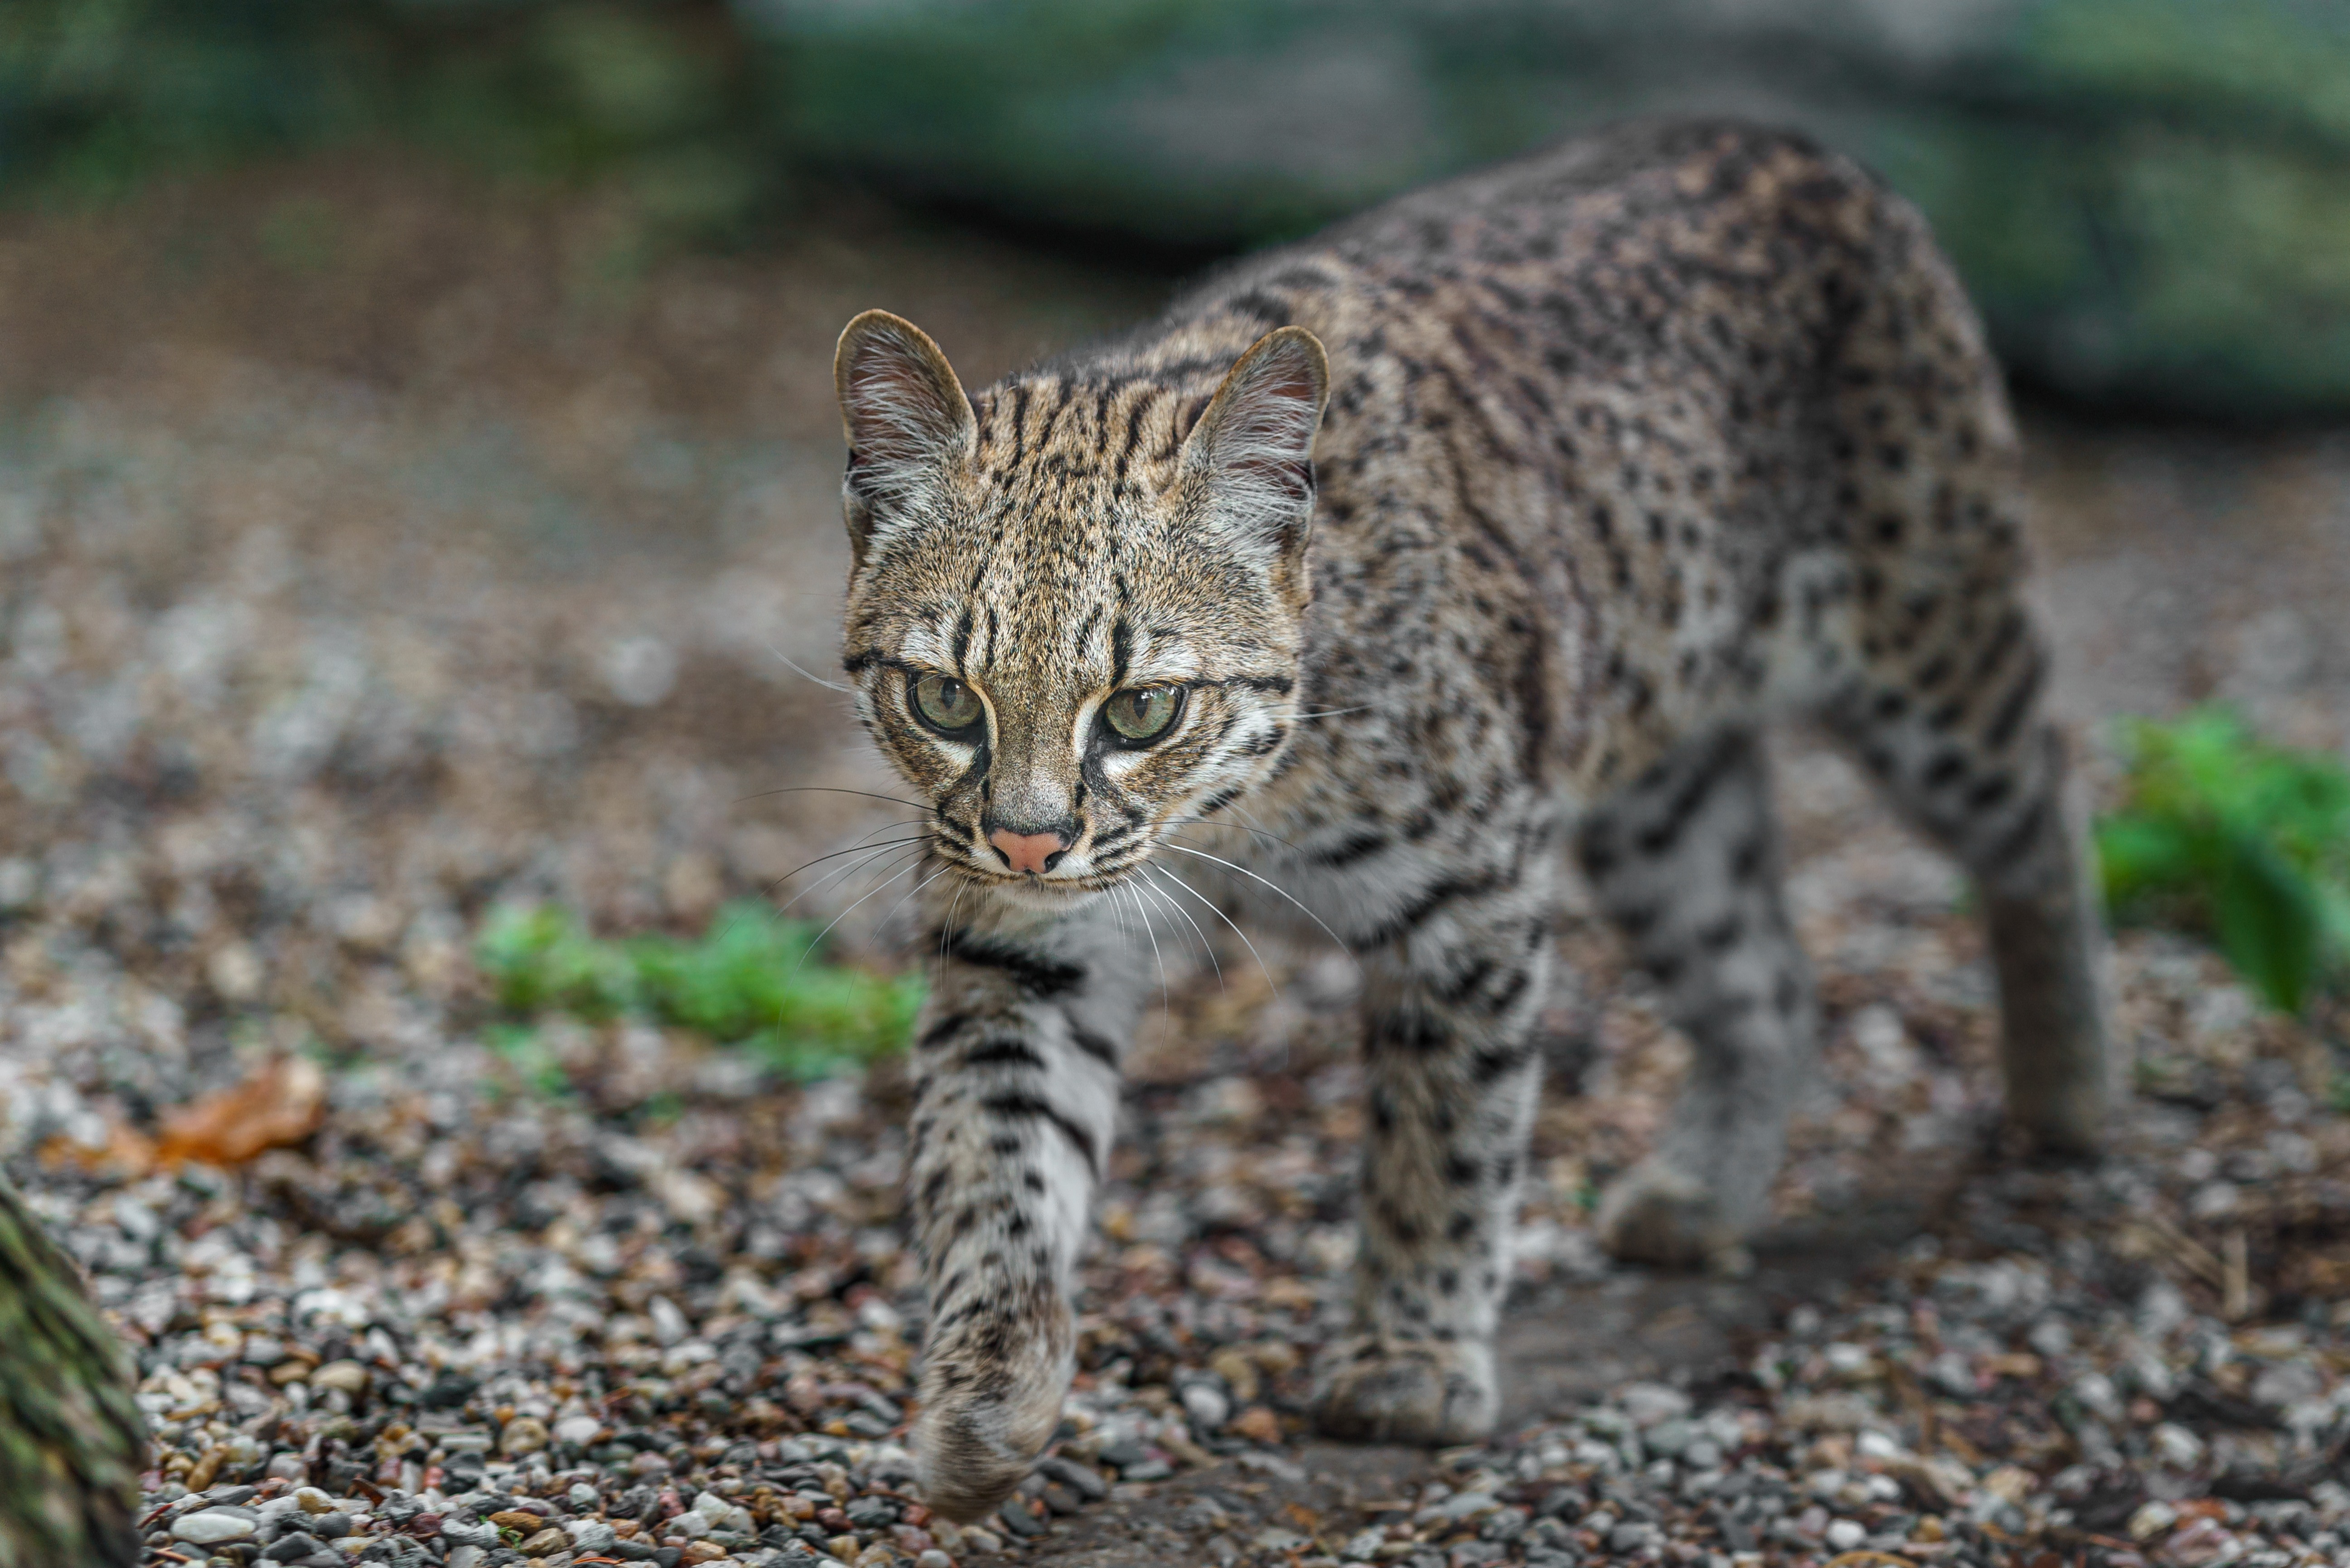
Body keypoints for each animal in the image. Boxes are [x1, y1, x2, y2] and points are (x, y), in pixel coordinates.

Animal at [827, 116, 2115, 1514]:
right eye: (944, 698)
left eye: (1139, 711)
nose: (1027, 838)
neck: (1233, 812)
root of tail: (1776, 136)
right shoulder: (1018, 934)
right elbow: (993, 1153)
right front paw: (988, 1393)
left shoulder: (1468, 895)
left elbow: (1443, 1132)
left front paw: (1409, 1354)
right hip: (1660, 792)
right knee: (1766, 971)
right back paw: (1704, 1193)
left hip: (1932, 653)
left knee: (2045, 809)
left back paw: (2069, 1094)